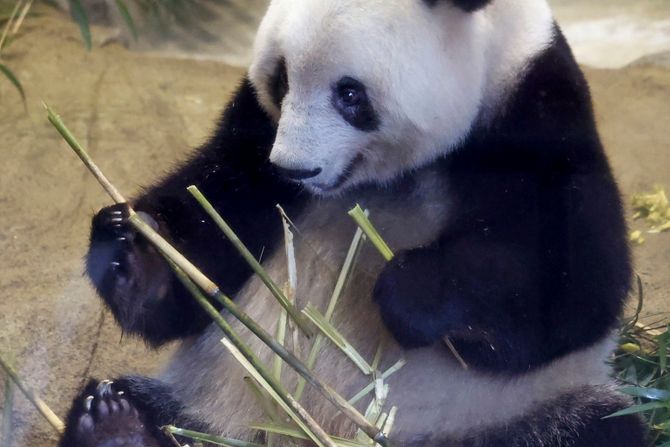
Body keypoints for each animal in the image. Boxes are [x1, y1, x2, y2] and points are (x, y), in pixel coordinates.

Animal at [59, 0, 652, 446]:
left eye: (350, 94)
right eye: (281, 79)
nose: (293, 168)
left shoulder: (537, 109)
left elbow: (577, 287)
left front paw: (415, 290)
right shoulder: (255, 130)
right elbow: (217, 218)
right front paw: (133, 251)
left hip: (509, 414)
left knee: (597, 430)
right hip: (221, 408)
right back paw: (116, 424)